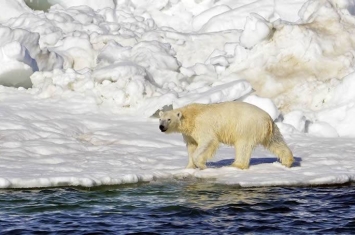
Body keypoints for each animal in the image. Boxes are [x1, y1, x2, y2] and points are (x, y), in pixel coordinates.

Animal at [159, 101, 294, 169]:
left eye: (169, 119)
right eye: (160, 119)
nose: (161, 127)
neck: (191, 115)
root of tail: (267, 119)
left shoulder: (202, 126)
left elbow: (208, 141)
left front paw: (201, 165)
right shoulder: (189, 133)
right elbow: (192, 146)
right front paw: (189, 167)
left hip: (246, 127)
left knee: (243, 146)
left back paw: (236, 165)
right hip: (269, 130)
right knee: (276, 142)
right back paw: (287, 161)